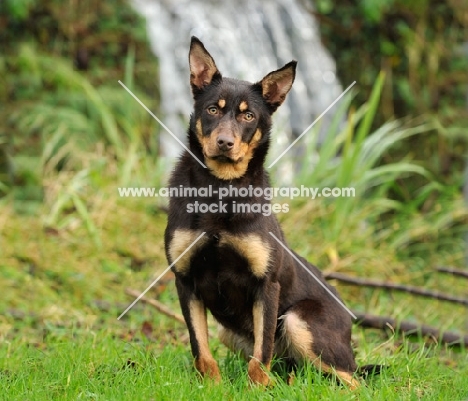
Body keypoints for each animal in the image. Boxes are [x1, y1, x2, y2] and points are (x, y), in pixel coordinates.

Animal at [165, 36, 362, 388]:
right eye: (213, 109)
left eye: (248, 117)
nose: (225, 143)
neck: (220, 190)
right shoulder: (185, 280)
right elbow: (200, 348)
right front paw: (212, 385)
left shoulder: (266, 285)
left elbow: (262, 351)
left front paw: (257, 388)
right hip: (229, 333)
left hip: (298, 320)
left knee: (352, 380)